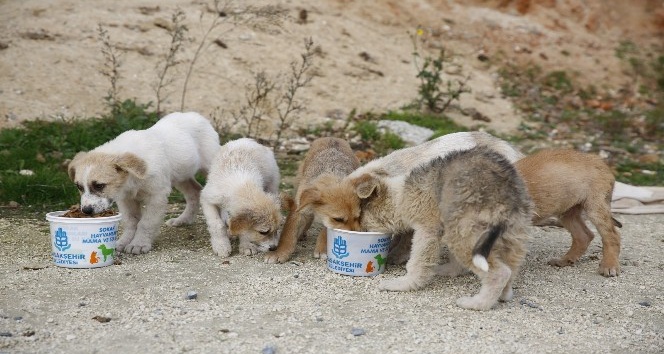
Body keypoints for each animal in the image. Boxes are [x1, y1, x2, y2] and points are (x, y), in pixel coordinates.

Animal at [69, 112, 220, 253]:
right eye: (79, 187)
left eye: (99, 186)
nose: (86, 211)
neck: (132, 180)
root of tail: (194, 114)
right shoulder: (125, 199)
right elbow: (131, 222)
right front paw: (124, 240)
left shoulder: (156, 197)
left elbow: (146, 223)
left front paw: (139, 244)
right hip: (181, 175)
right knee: (195, 192)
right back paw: (183, 219)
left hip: (208, 167)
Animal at [512, 148, 624, 276]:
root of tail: (599, 161)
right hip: (568, 212)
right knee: (584, 236)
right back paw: (565, 260)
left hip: (595, 207)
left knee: (612, 235)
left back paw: (609, 265)